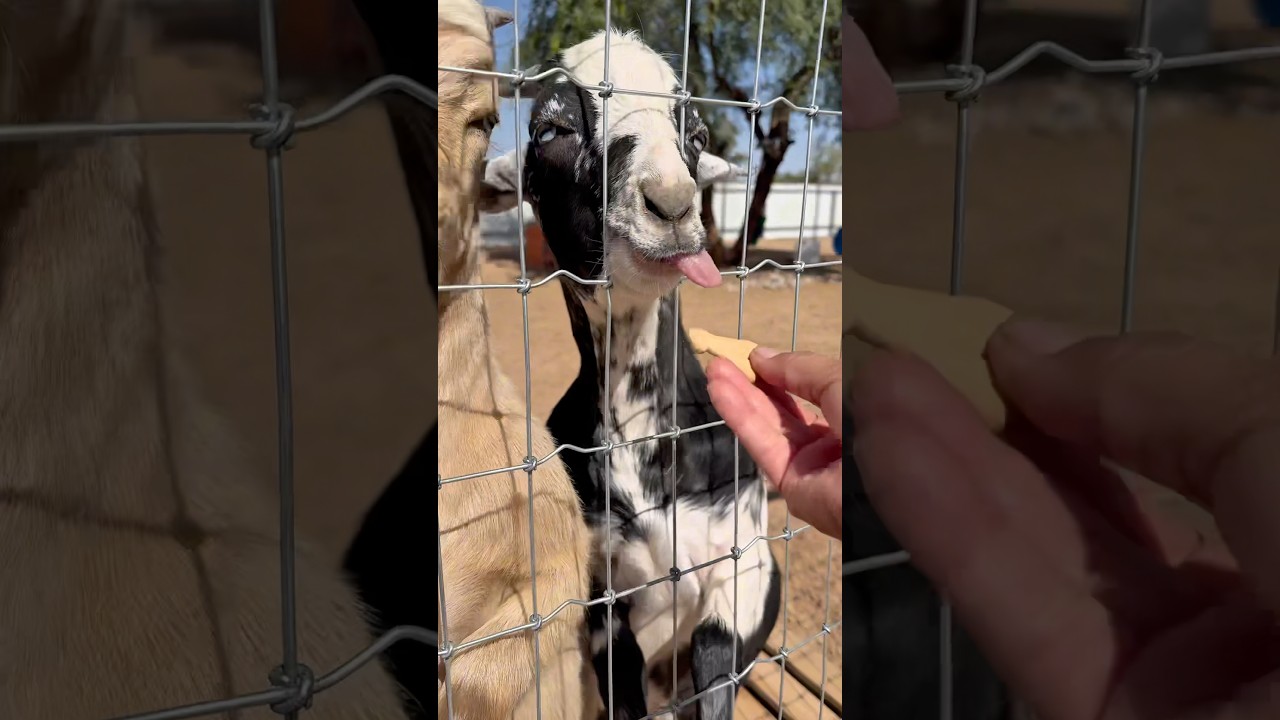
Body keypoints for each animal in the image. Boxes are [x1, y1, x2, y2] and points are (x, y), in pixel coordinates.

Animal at [482, 29, 782, 719]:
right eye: (552, 129)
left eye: (696, 134)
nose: (671, 202)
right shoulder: (601, 591)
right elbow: (623, 683)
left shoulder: (746, 557)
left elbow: (715, 656)